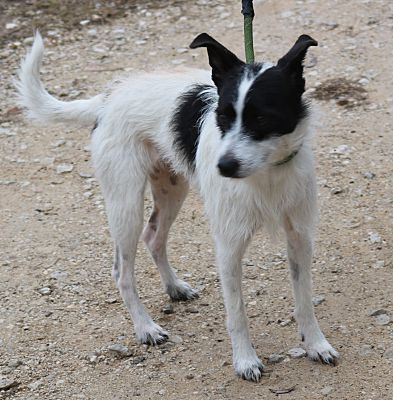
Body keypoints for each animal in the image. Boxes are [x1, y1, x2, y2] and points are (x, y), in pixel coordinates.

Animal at [16, 32, 338, 382]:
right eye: (222, 117)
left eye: (262, 117)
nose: (223, 167)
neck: (266, 174)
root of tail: (109, 97)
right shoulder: (229, 246)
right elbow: (237, 312)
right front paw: (245, 360)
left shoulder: (300, 237)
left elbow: (304, 299)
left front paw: (316, 344)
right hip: (126, 204)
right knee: (122, 272)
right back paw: (145, 328)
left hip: (172, 189)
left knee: (153, 236)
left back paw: (174, 288)